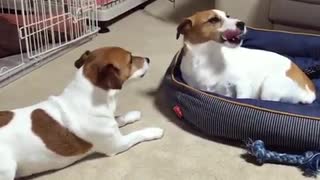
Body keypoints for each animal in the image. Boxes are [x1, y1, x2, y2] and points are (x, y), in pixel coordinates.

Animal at [0, 46, 164, 179]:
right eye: (130, 59)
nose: (148, 59)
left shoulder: (109, 124)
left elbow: (119, 119)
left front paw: (132, 115)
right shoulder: (117, 144)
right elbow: (138, 134)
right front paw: (154, 131)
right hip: (8, 169)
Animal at [176, 9, 316, 104]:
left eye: (227, 15)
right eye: (213, 20)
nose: (242, 23)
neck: (207, 59)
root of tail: (310, 90)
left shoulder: (242, 85)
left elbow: (242, 96)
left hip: (270, 87)